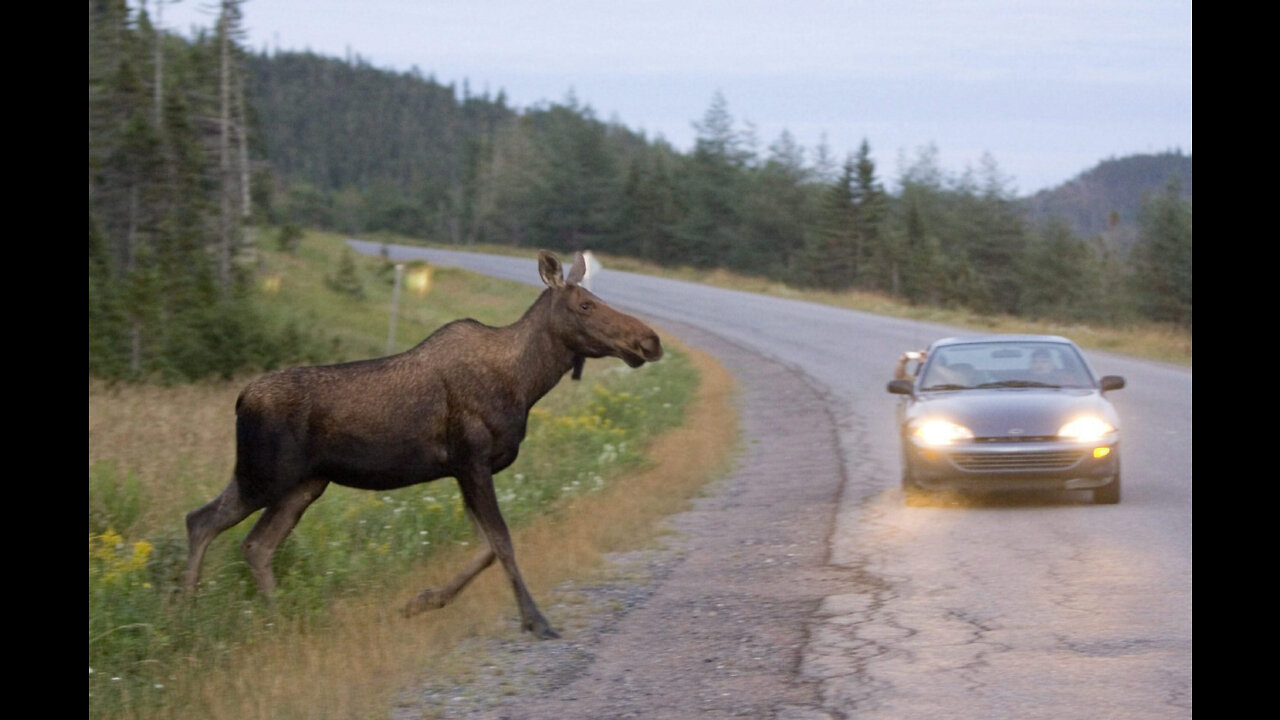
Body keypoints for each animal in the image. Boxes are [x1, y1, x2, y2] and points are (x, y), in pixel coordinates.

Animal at [185, 249, 665, 635]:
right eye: (585, 304)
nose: (651, 340)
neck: (526, 383)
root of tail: (240, 399)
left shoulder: (465, 469)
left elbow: (486, 548)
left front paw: (421, 601)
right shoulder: (471, 459)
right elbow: (503, 542)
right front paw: (536, 620)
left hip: (302, 485)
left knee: (255, 544)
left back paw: (274, 619)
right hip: (264, 475)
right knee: (202, 521)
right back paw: (186, 614)